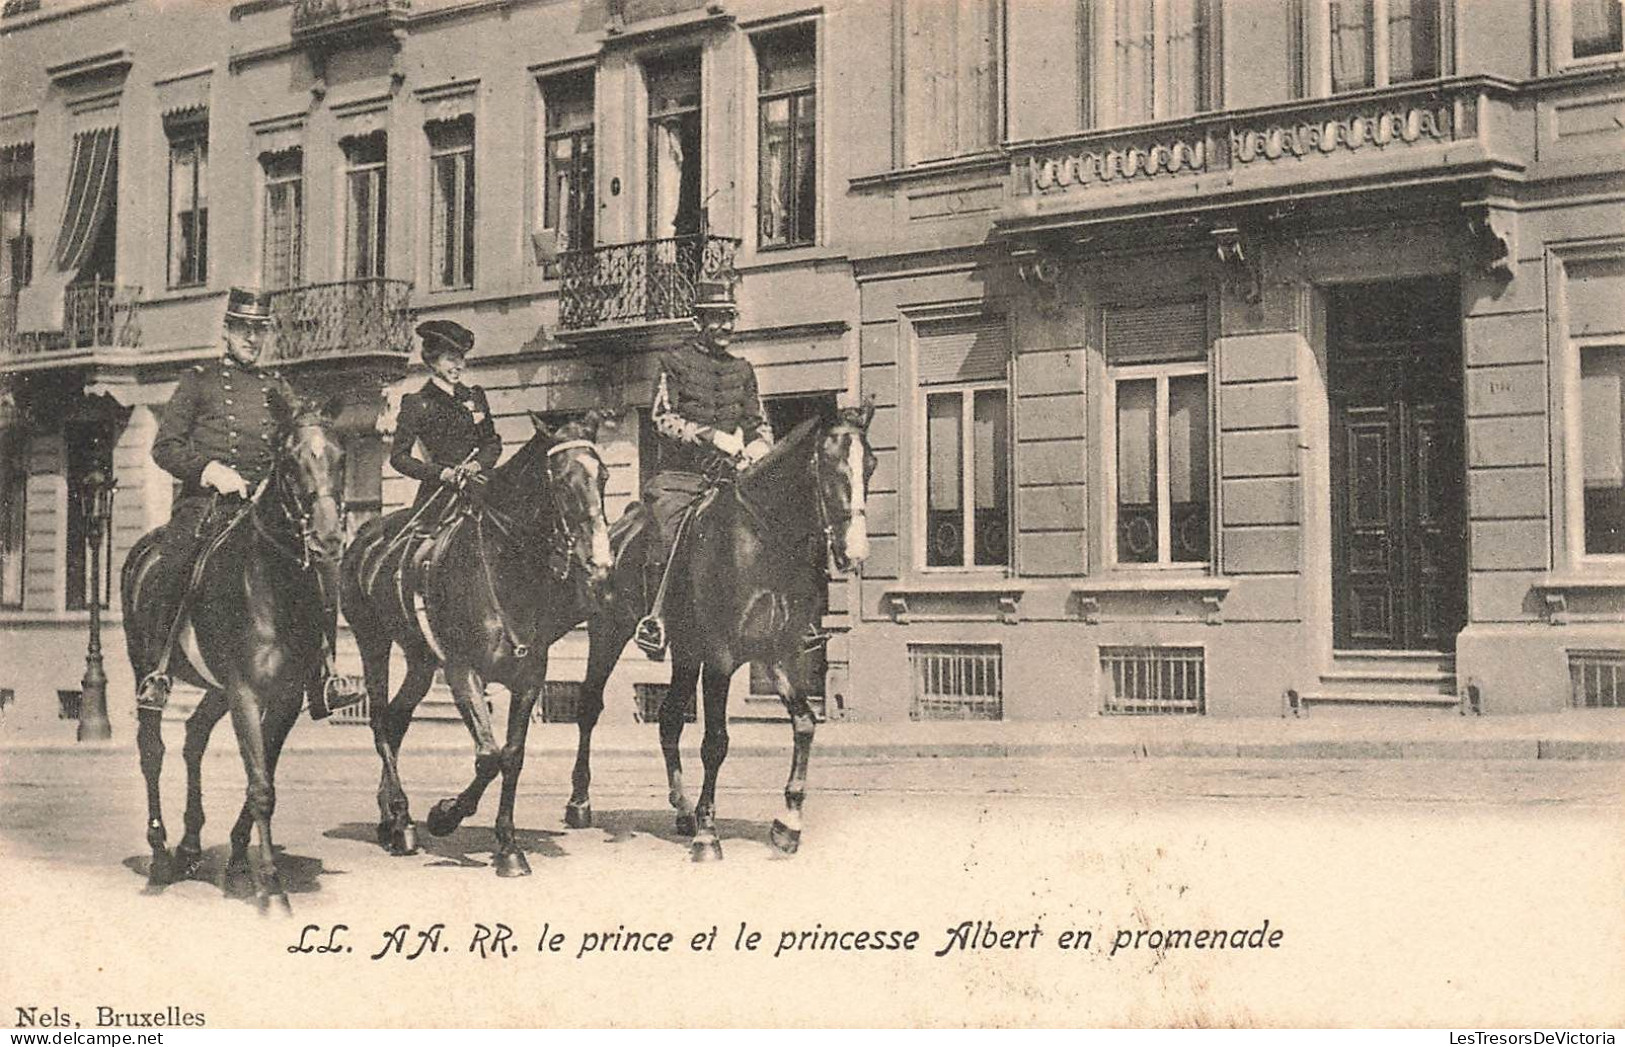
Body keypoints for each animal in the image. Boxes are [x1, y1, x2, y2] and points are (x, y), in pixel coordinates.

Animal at [121, 393, 347, 910]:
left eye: (341, 456)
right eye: (290, 460)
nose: (328, 540)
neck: (273, 585)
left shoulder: (284, 698)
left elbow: (261, 778)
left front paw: (244, 862)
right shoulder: (245, 692)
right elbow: (260, 784)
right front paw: (274, 889)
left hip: (216, 688)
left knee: (194, 737)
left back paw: (189, 847)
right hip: (145, 665)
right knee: (152, 750)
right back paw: (160, 855)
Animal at [342, 409, 614, 877]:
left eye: (605, 476)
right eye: (562, 481)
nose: (600, 565)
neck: (507, 567)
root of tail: (364, 536)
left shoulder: (530, 678)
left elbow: (512, 756)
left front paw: (509, 847)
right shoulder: (461, 670)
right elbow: (488, 755)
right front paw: (444, 815)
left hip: (419, 661)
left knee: (396, 720)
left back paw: (391, 818)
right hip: (372, 641)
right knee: (379, 721)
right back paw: (403, 819)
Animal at [568, 401, 877, 858]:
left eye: (870, 465)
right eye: (830, 466)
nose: (854, 552)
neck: (764, 540)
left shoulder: (779, 653)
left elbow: (804, 724)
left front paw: (788, 822)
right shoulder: (719, 656)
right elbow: (715, 742)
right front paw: (708, 834)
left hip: (684, 650)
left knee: (669, 719)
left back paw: (682, 809)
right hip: (608, 634)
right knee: (589, 706)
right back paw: (579, 802)